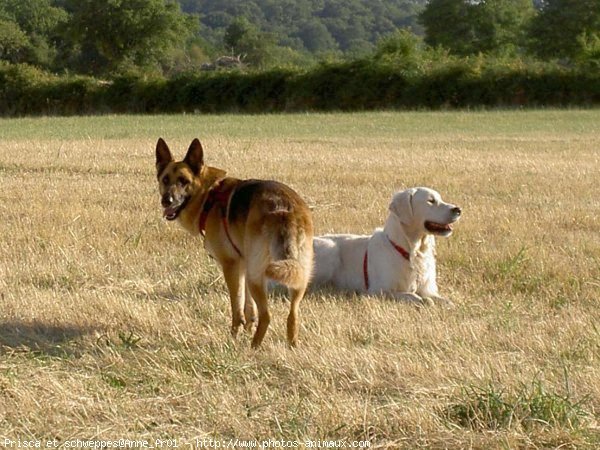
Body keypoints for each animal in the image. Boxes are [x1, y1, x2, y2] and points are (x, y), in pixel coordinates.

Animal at [155, 137, 314, 348]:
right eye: (165, 180)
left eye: (183, 181)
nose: (167, 201)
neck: (209, 195)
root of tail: (284, 207)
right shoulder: (244, 264)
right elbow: (249, 308)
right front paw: (247, 327)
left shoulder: (231, 267)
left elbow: (236, 307)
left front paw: (234, 335)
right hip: (299, 273)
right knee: (293, 314)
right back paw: (291, 345)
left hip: (258, 274)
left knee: (267, 316)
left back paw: (253, 348)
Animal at [312, 186, 462, 306]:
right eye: (430, 201)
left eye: (440, 199)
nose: (458, 209)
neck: (413, 252)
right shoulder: (377, 291)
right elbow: (413, 296)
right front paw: (423, 301)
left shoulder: (428, 289)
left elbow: (445, 301)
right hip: (330, 250)